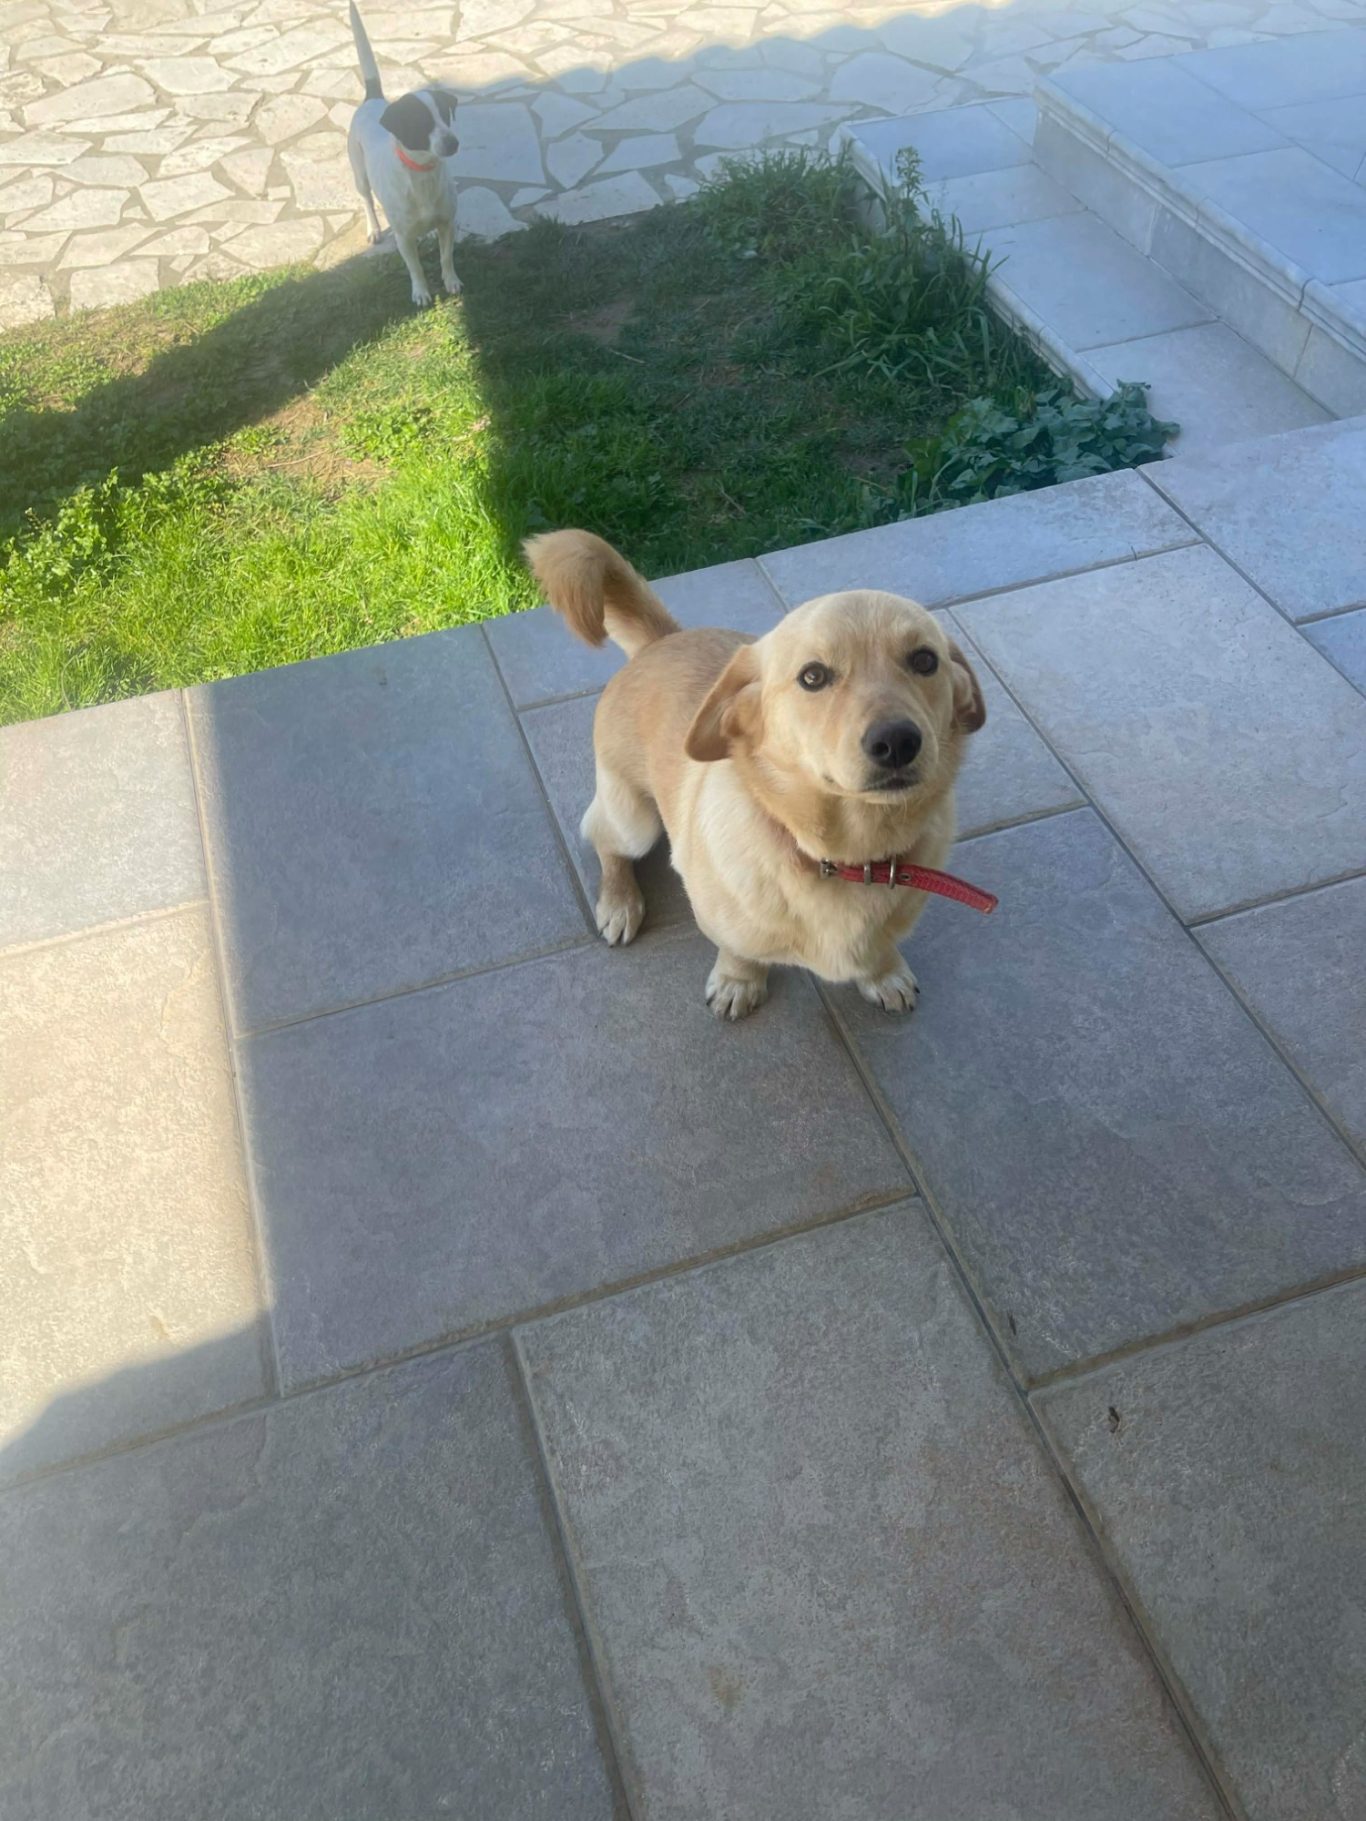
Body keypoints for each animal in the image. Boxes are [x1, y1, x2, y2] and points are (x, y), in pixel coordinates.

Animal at [347, 2, 461, 308]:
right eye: (421, 123)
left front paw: (451, 280)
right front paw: (421, 292)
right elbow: (416, 268)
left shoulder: (446, 222)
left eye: (445, 115)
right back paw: (374, 228)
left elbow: (446, 257)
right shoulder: (403, 239)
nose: (453, 143)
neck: (422, 173)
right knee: (365, 198)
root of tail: (373, 99)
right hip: (359, 173)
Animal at [525, 530, 988, 1020]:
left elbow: (879, 951)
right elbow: (739, 951)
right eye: (812, 676)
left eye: (925, 661)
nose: (897, 741)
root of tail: (662, 641)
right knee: (605, 843)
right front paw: (738, 982)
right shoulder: (724, 921)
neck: (846, 857)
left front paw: (884, 972)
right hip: (634, 820)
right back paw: (619, 902)